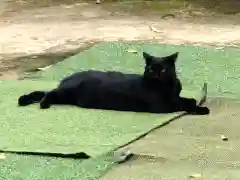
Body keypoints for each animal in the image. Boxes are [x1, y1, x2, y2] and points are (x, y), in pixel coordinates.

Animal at [18, 51, 210, 114]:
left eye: (162, 70)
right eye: (150, 69)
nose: (156, 75)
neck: (167, 87)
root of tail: (67, 78)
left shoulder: (173, 97)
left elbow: (185, 99)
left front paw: (193, 101)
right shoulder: (162, 106)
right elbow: (183, 104)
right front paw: (201, 109)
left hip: (66, 96)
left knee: (43, 92)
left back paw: (25, 100)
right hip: (65, 92)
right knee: (48, 93)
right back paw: (43, 104)